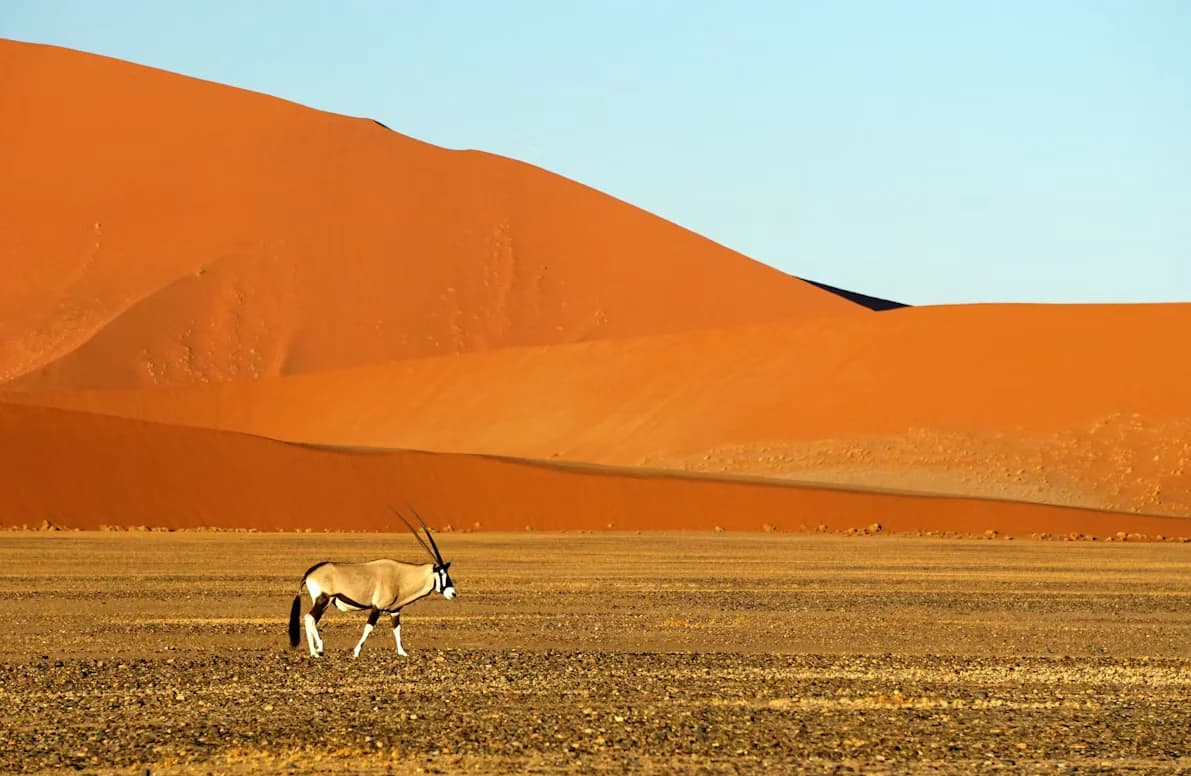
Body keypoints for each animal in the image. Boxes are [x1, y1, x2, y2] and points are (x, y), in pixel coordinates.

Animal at [287, 507, 457, 658]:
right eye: (441, 573)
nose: (453, 593)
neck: (400, 576)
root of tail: (310, 572)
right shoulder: (377, 607)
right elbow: (368, 628)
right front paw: (356, 652)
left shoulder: (395, 610)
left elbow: (397, 629)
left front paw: (402, 652)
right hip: (323, 599)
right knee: (309, 618)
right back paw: (315, 651)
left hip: (326, 602)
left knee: (312, 620)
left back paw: (318, 650)